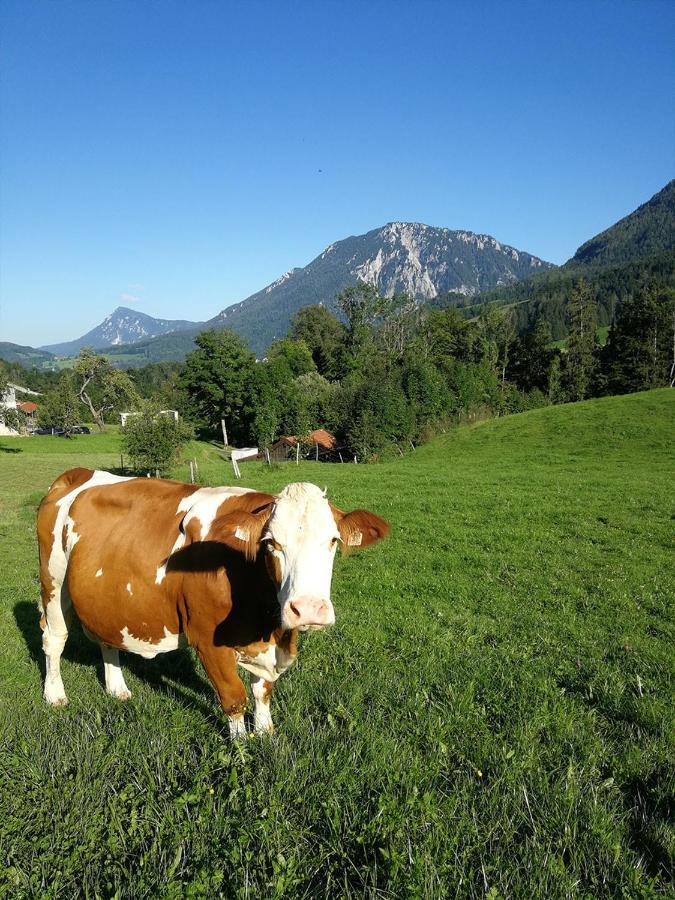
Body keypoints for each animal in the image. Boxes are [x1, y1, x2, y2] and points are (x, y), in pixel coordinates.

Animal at [37, 468, 390, 736]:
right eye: (271, 543)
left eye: (333, 540)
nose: (308, 610)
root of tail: (77, 473)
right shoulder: (206, 638)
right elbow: (234, 697)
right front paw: (242, 747)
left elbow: (263, 691)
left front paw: (266, 736)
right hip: (52, 580)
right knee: (54, 638)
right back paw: (54, 695)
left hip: (104, 598)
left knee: (105, 637)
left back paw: (117, 688)